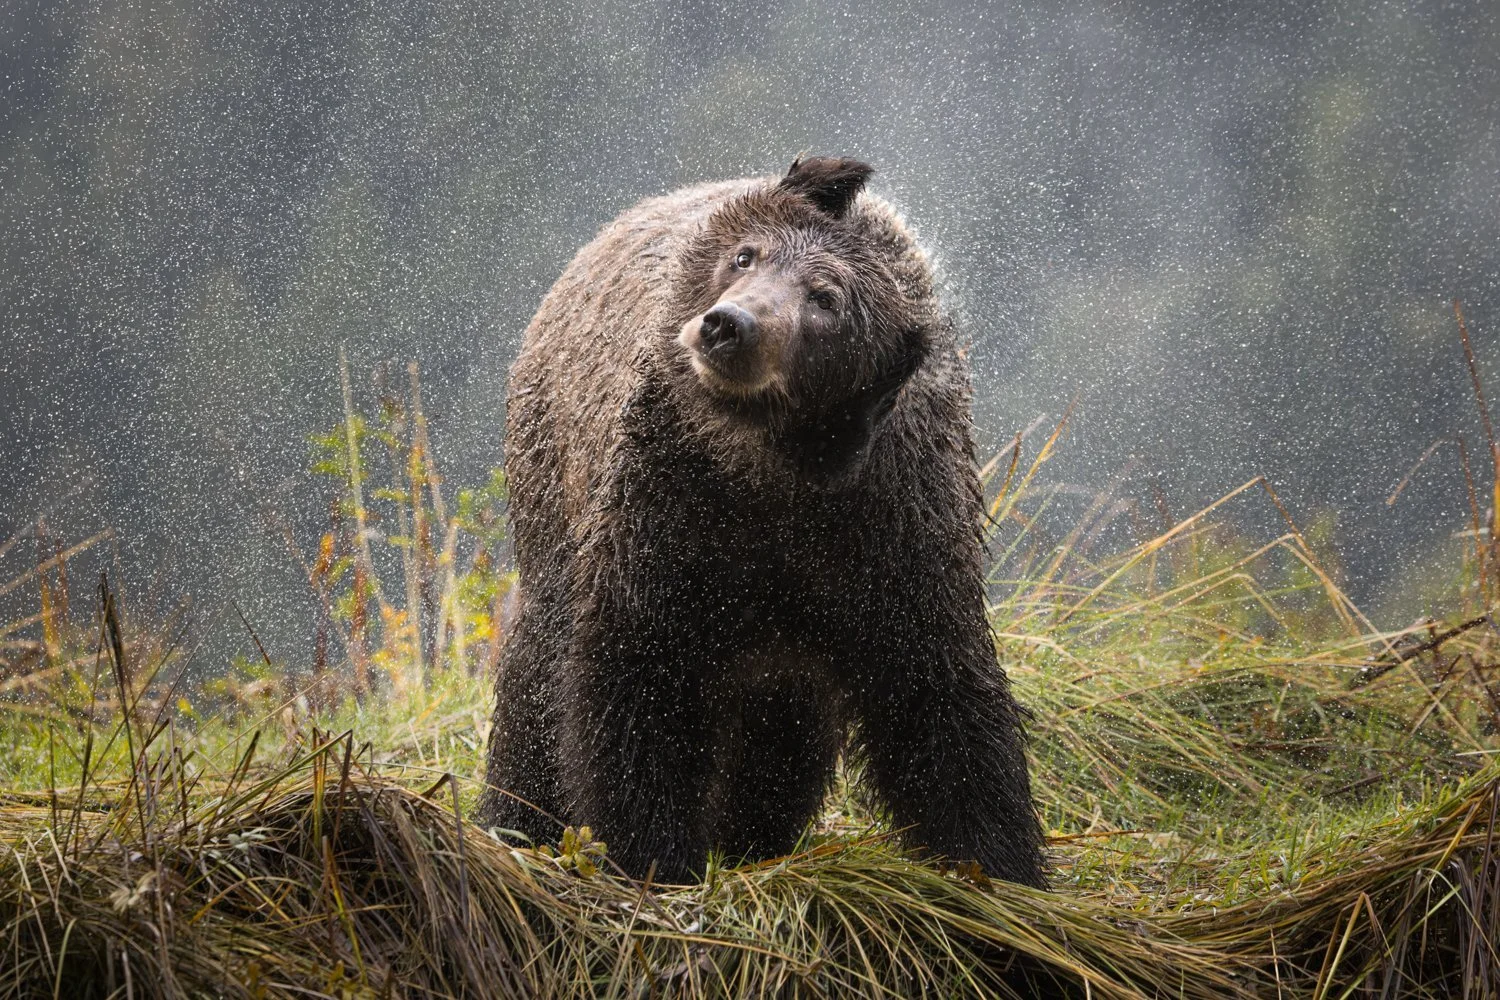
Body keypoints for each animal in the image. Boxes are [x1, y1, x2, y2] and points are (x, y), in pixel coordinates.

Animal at [477, 156, 1046, 889]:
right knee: (537, 668)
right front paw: (651, 851)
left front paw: (1000, 863)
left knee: (780, 739)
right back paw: (517, 819)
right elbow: (635, 677)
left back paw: (753, 838)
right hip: (554, 483)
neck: (777, 471)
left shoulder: (892, 526)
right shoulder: (668, 513)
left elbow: (938, 694)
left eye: (826, 299)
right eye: (744, 256)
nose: (728, 325)